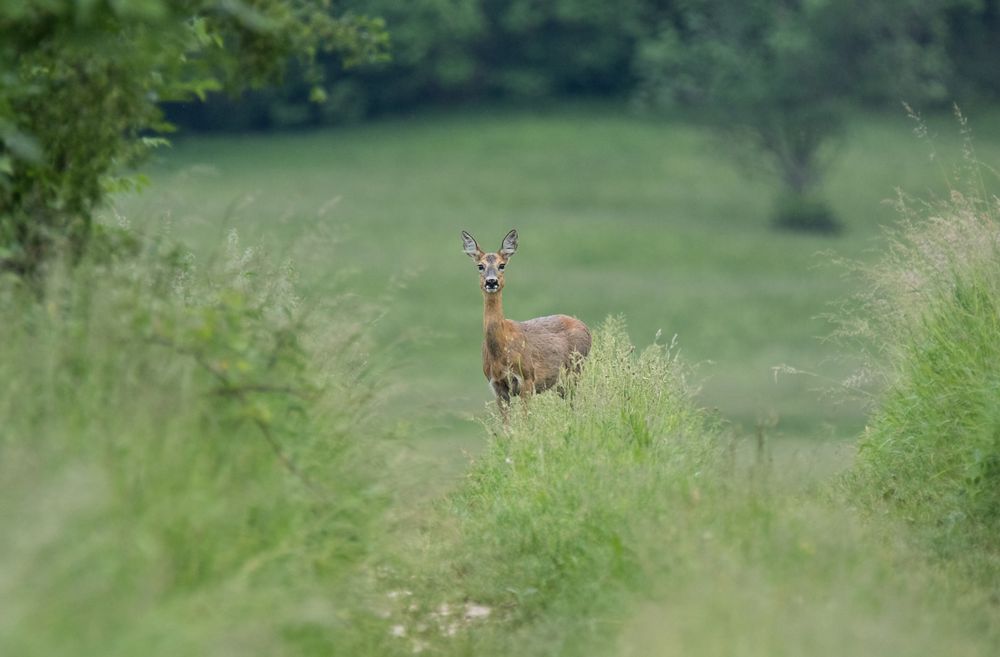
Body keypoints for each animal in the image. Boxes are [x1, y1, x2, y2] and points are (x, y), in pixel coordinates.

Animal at [462, 231, 592, 416]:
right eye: (480, 266)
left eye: (502, 265)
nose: (491, 281)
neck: (502, 349)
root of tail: (585, 327)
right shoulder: (497, 385)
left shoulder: (528, 378)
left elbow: (525, 419)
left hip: (576, 368)